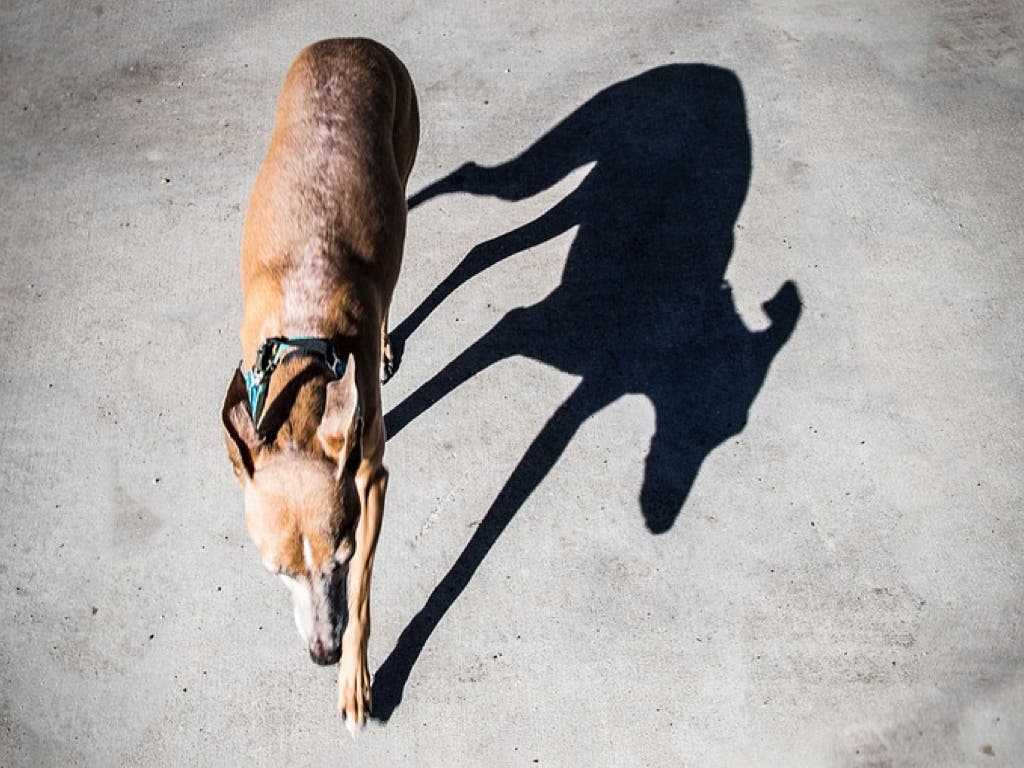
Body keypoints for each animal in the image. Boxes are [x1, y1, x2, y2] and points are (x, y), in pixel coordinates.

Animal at [222, 39, 417, 737]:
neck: (307, 345)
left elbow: (361, 590)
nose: (322, 653)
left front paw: (355, 680)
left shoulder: (373, 482)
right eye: (277, 571)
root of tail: (350, 41)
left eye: (339, 556)